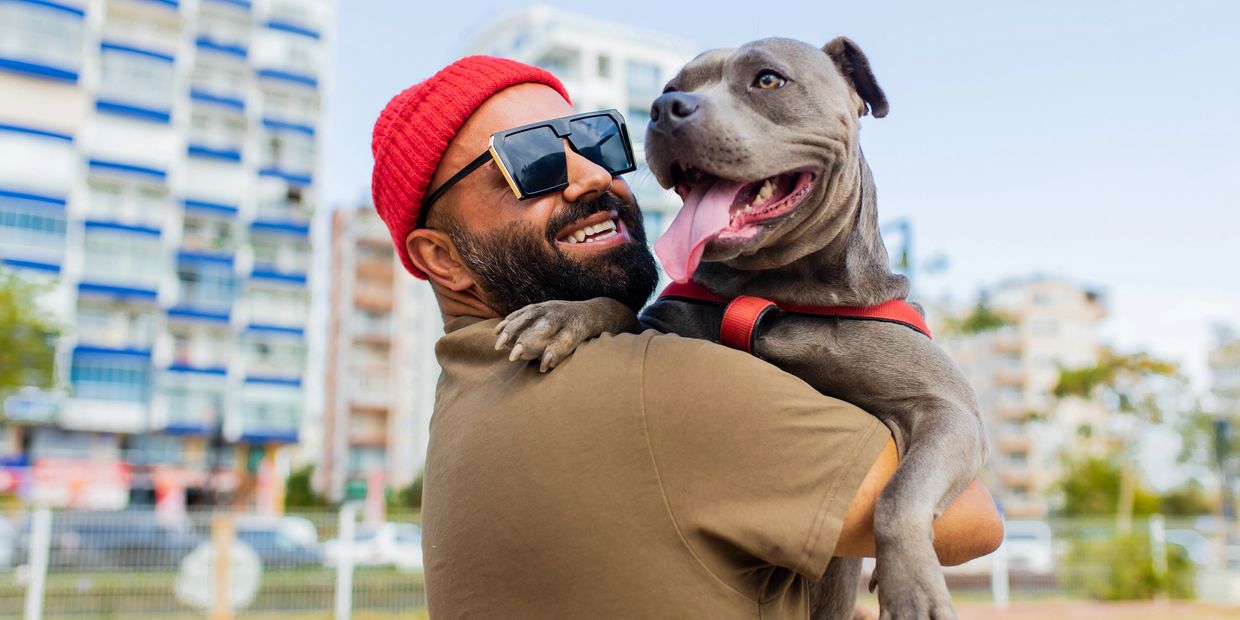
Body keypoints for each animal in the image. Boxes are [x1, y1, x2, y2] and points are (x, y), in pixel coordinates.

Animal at [493, 36, 987, 617]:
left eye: (768, 80)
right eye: (670, 88)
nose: (664, 108)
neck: (775, 293)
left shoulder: (946, 407)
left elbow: (900, 493)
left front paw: (912, 586)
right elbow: (621, 311)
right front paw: (562, 316)